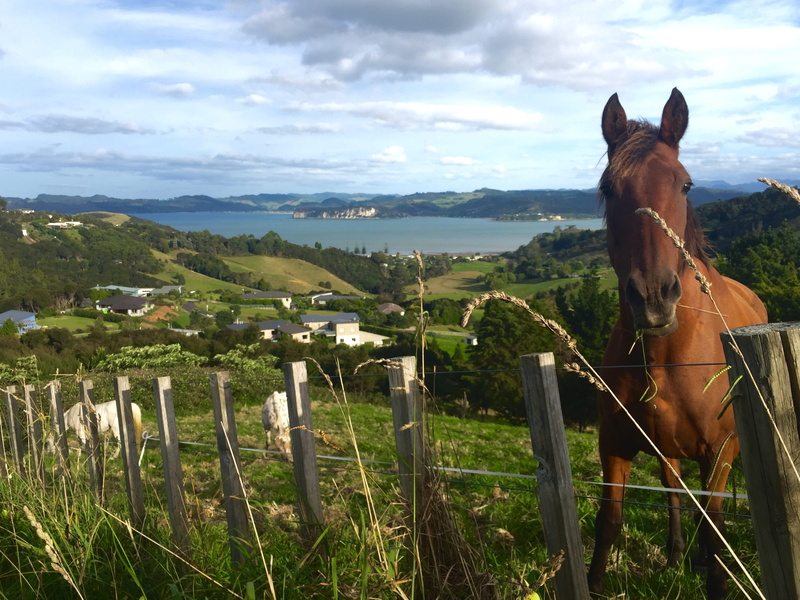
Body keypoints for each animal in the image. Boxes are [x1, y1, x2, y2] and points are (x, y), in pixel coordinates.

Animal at [587, 88, 767, 600]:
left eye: (685, 185)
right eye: (609, 187)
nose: (652, 297)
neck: (669, 354)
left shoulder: (719, 453)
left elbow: (717, 533)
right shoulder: (615, 444)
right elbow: (608, 524)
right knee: (672, 488)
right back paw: (674, 552)